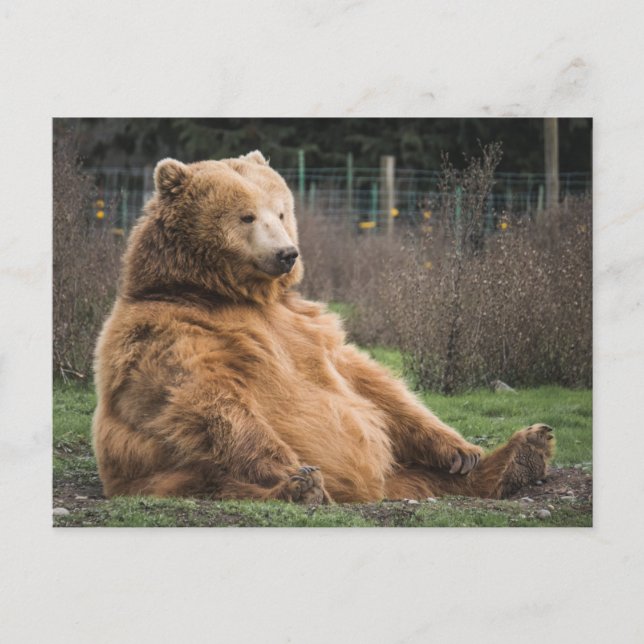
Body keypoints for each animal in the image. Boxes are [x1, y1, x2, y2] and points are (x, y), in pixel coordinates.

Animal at [92, 150, 554, 504]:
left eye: (281, 211)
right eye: (246, 216)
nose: (286, 253)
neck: (226, 293)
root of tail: (372, 491)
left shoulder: (306, 326)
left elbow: (370, 382)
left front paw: (460, 450)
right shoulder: (169, 332)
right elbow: (206, 399)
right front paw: (293, 471)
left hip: (401, 470)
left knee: (429, 475)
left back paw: (522, 453)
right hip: (167, 473)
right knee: (217, 479)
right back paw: (301, 488)